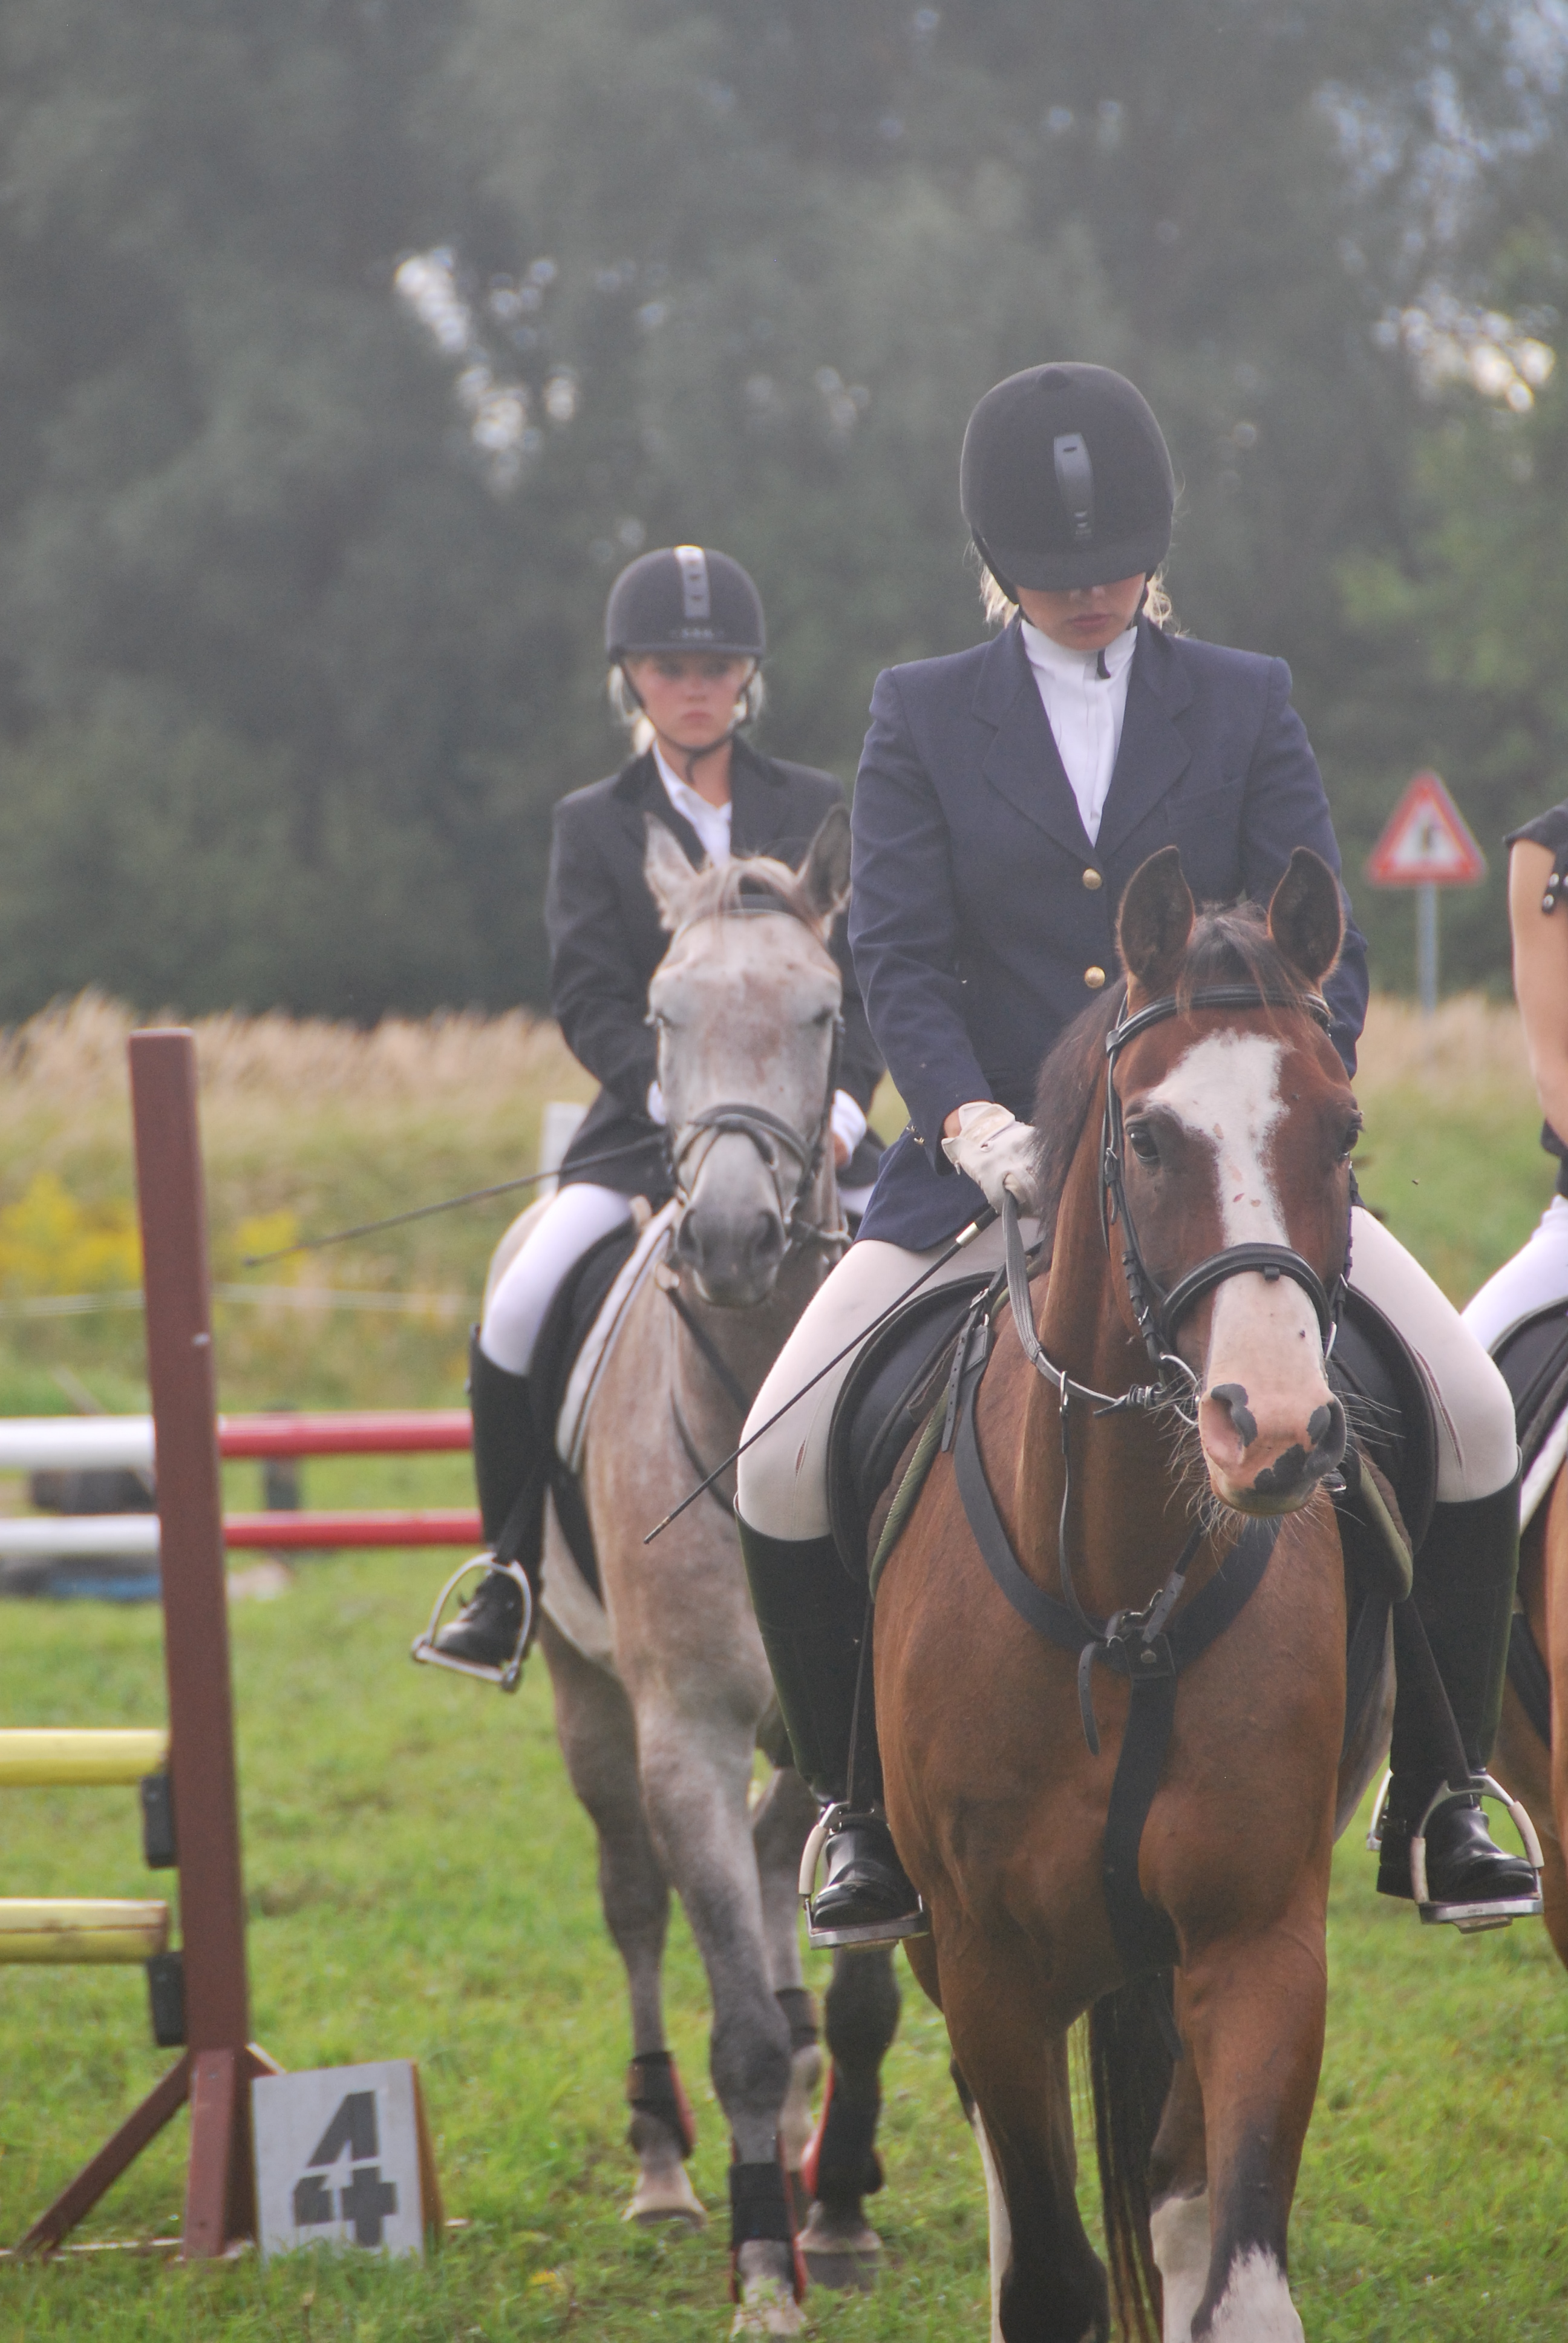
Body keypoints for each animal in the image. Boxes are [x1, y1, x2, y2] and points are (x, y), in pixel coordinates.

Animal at [495, 811, 897, 2334]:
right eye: (663, 1013)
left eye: (826, 1010)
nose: (727, 1241)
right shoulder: (690, 1738)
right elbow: (732, 2022)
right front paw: (764, 2274)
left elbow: (856, 1999)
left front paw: (834, 2214)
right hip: (585, 1695)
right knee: (634, 1906)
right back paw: (668, 2169)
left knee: (785, 1883)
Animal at [871, 844, 1384, 2343]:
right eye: (1149, 1138)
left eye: (1342, 1127)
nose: (1273, 1430)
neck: (1118, 1590)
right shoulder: (988, 1964)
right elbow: (1048, 2274)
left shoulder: (1259, 1943)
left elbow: (1239, 2269)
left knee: (1171, 2192)